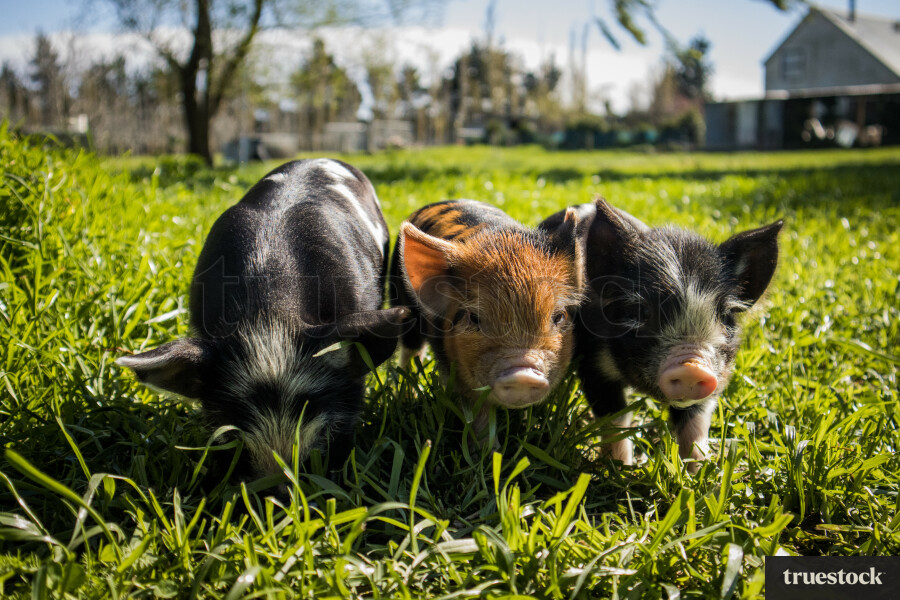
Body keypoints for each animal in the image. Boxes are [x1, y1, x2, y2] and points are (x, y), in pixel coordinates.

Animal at [540, 198, 782, 472]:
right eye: (640, 310)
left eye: (724, 316)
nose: (692, 366)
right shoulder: (593, 364)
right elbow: (615, 418)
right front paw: (619, 468)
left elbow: (694, 422)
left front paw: (698, 473)